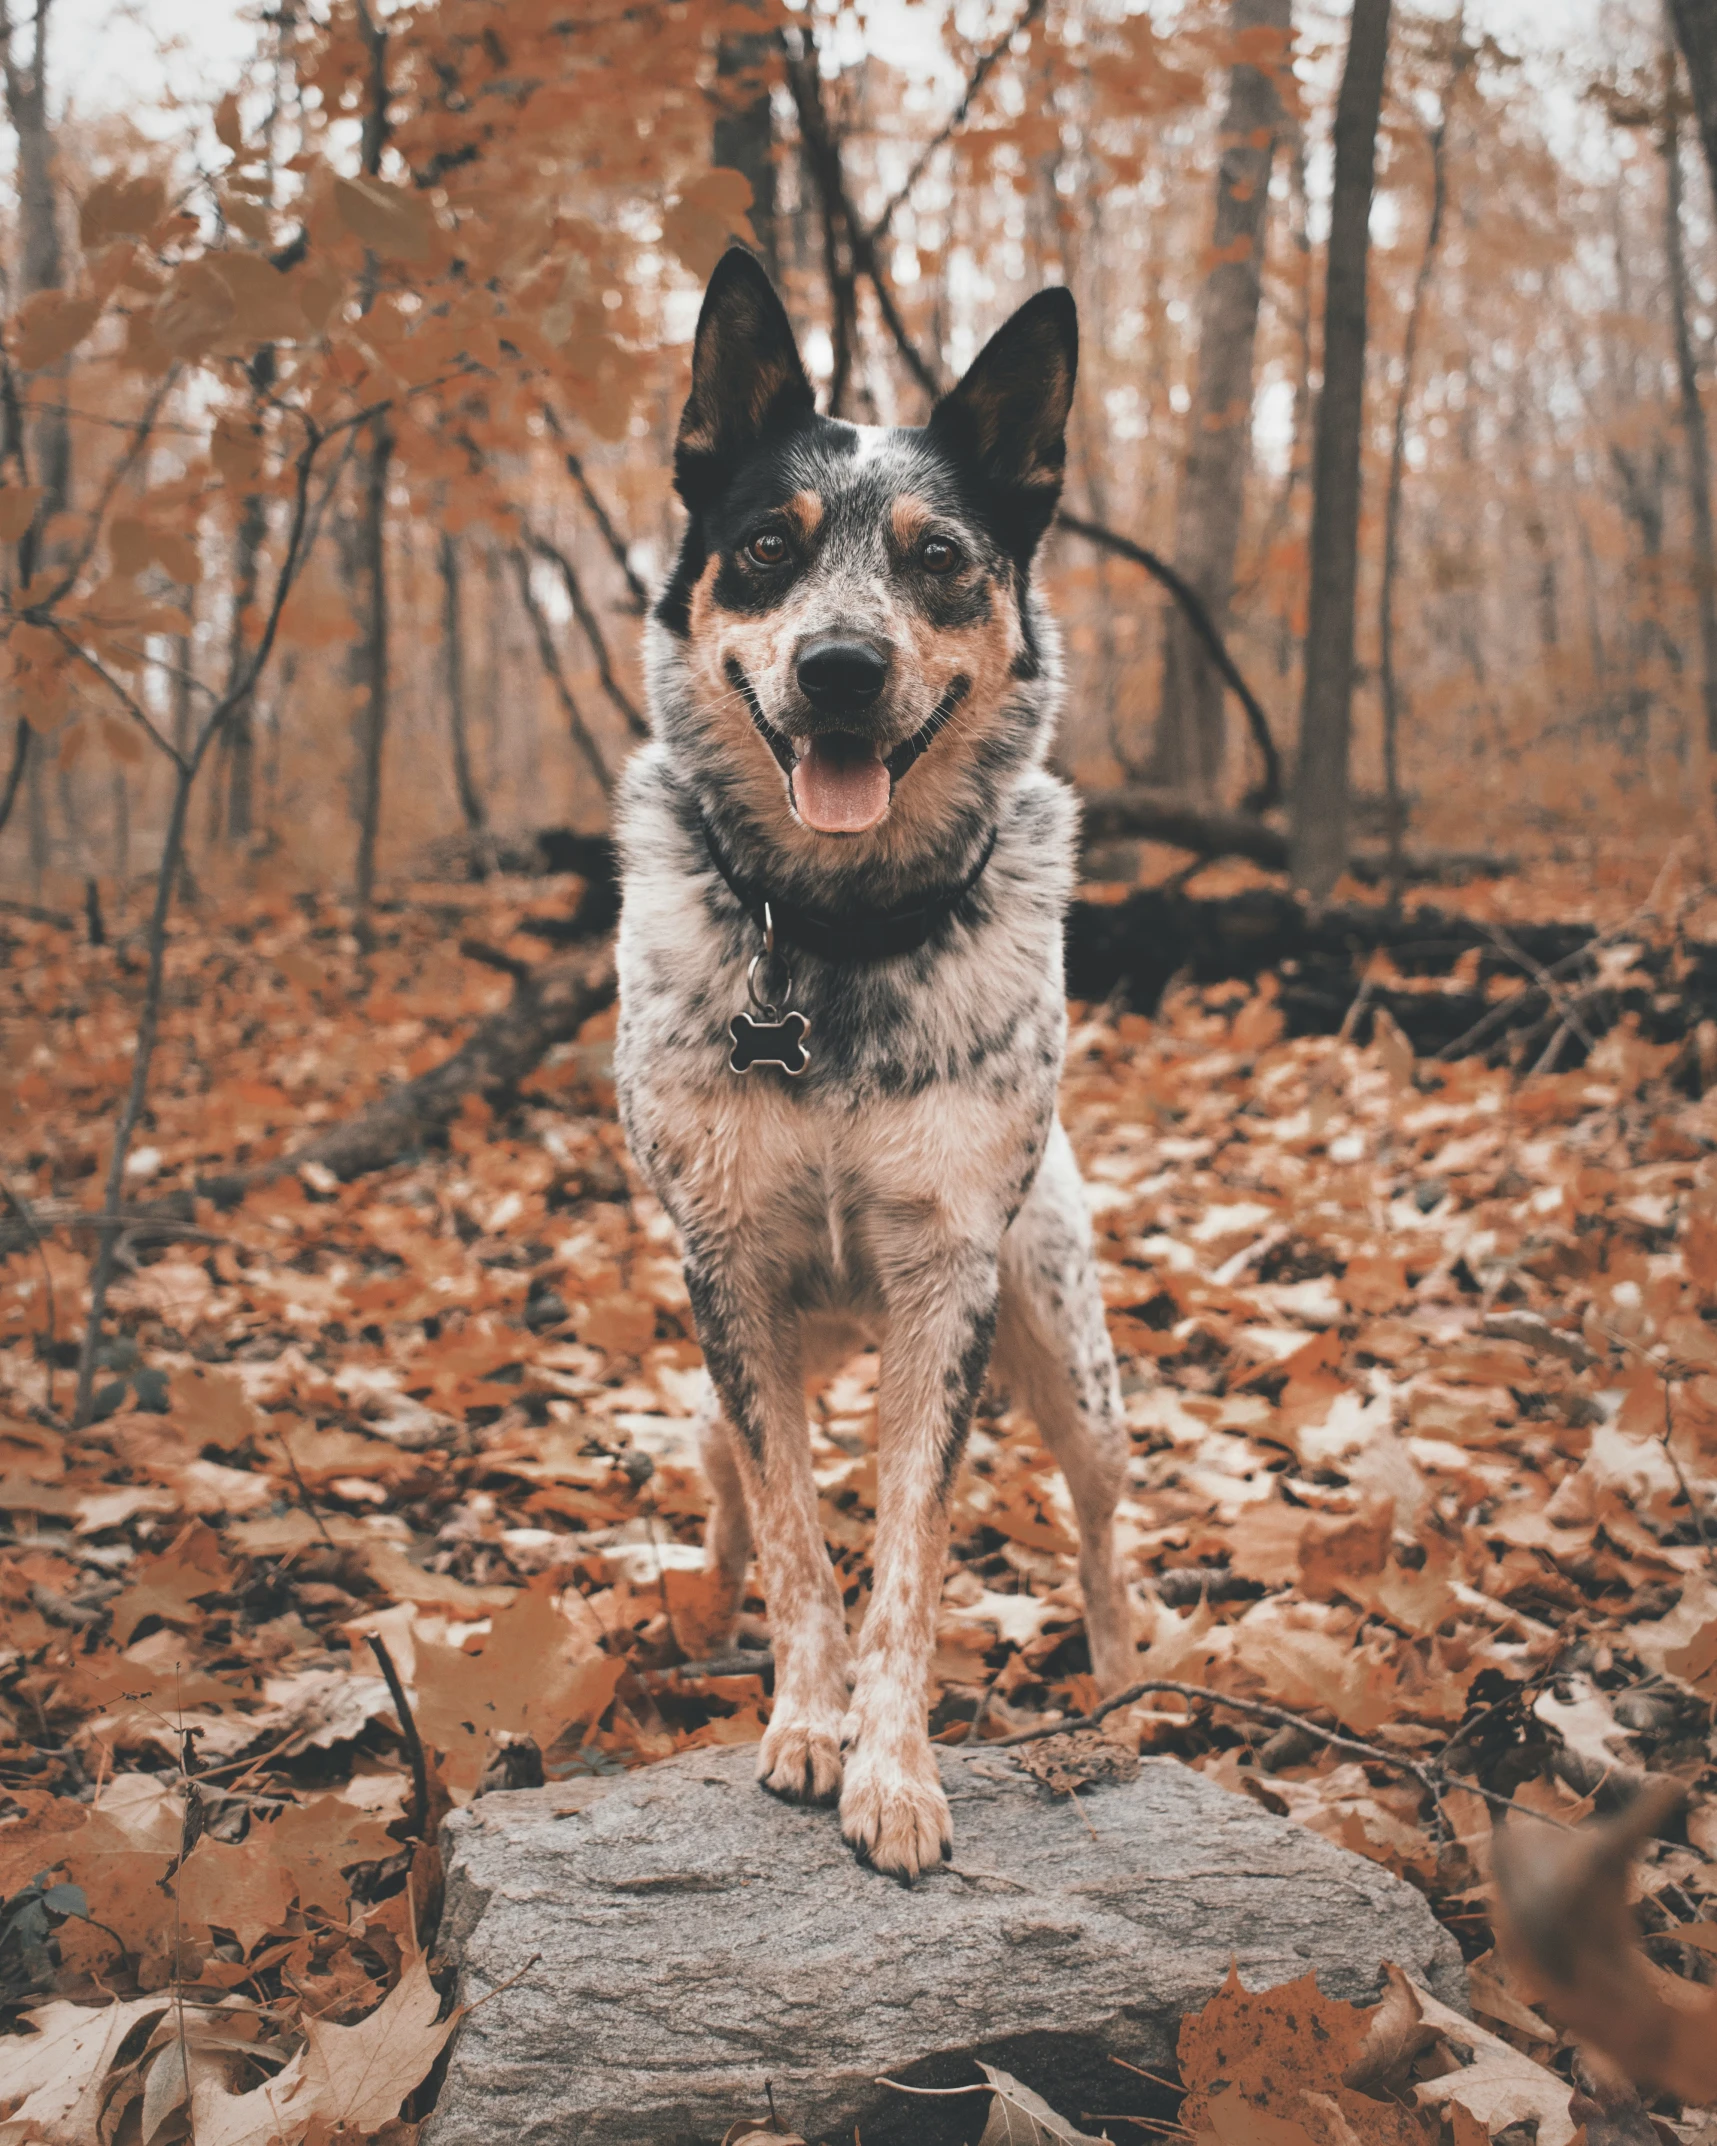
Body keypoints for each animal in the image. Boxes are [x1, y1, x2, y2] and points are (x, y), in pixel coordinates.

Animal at [609, 243, 1133, 1871]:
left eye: (941, 557)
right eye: (767, 546)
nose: (841, 667)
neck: (831, 942)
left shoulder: (945, 1277)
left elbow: (909, 1548)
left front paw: (892, 1766)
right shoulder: (727, 1269)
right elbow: (796, 1530)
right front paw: (803, 1717)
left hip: (1067, 1348)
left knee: (1105, 1530)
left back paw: (1128, 1694)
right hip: (717, 1377)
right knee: (728, 1480)